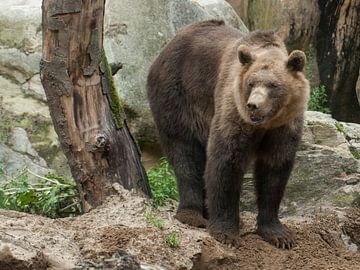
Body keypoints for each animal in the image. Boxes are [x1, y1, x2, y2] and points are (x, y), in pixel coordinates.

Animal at [146, 20, 310, 249]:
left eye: (273, 85)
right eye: (251, 83)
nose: (253, 105)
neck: (265, 124)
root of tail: (167, 46)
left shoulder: (284, 128)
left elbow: (275, 170)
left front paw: (279, 234)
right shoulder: (233, 112)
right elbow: (226, 162)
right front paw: (226, 232)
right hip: (176, 95)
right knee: (185, 153)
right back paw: (192, 214)